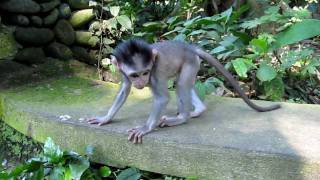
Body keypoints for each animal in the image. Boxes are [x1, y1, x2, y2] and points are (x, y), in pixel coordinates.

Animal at [87, 39, 280, 143]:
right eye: (135, 75)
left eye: (146, 72)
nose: (141, 82)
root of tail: (189, 47)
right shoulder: (124, 73)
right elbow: (124, 91)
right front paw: (105, 118)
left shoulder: (156, 73)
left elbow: (163, 99)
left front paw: (146, 128)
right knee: (182, 83)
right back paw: (197, 111)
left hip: (191, 62)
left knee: (180, 84)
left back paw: (182, 118)